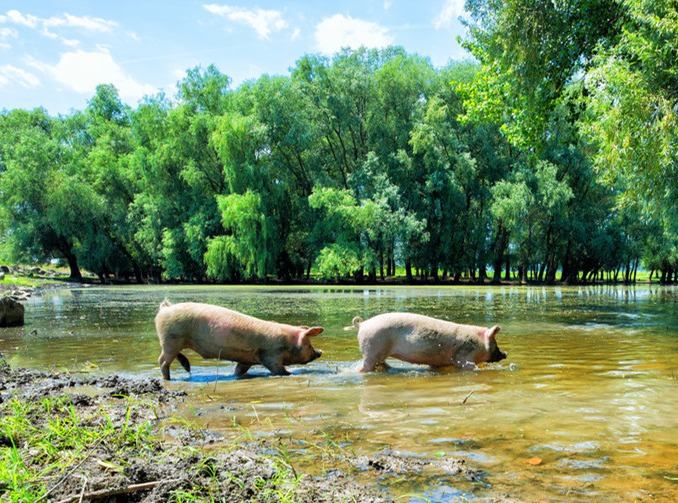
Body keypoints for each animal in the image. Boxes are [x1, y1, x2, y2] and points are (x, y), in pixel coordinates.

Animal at [156, 302, 324, 380]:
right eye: (309, 345)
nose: (320, 352)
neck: (287, 342)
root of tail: (165, 308)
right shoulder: (271, 355)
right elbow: (278, 369)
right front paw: (289, 373)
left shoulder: (246, 360)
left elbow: (239, 370)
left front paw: (235, 375)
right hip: (170, 340)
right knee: (162, 361)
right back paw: (168, 379)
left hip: (174, 341)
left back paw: (186, 368)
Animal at [350, 314, 504, 372]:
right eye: (495, 344)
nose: (505, 353)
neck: (478, 344)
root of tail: (362, 324)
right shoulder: (463, 356)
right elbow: (466, 365)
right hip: (371, 348)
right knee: (365, 367)